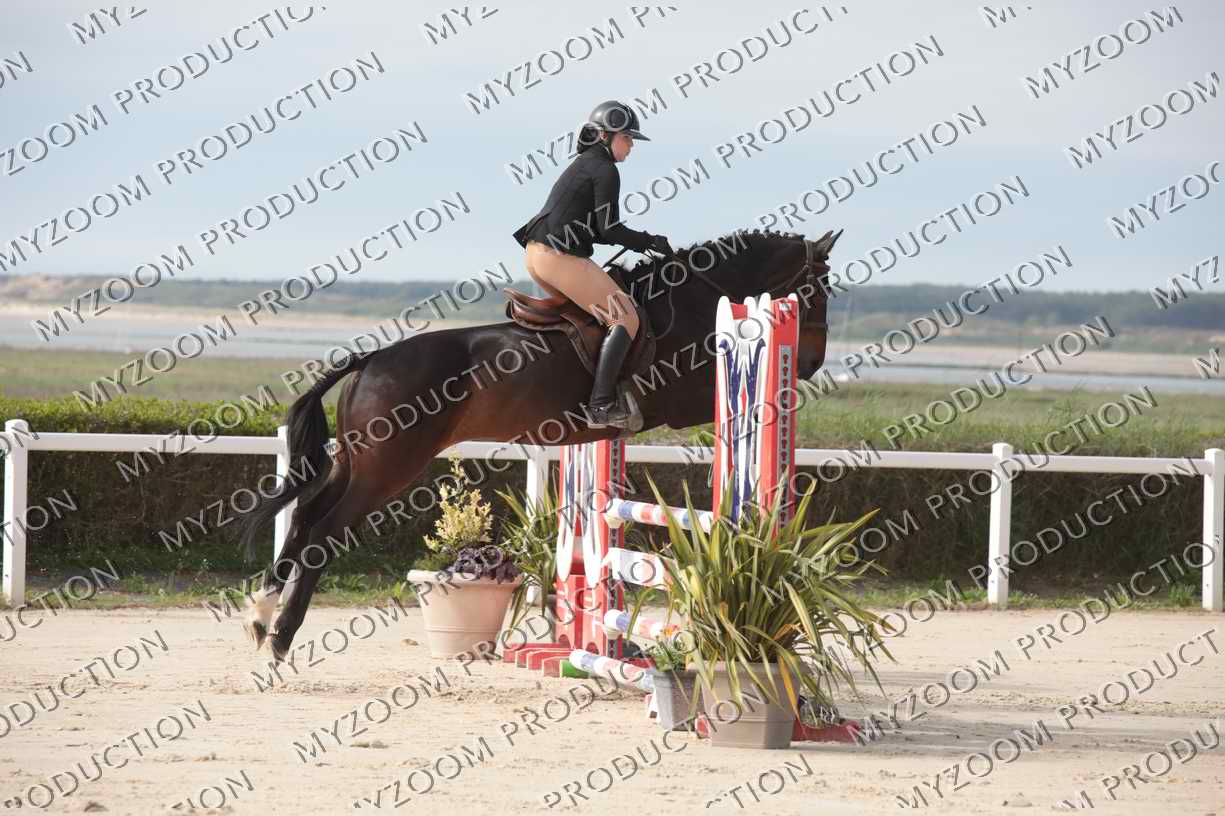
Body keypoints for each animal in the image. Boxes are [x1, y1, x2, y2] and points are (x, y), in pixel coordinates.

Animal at [239, 228, 841, 661]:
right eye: (818, 290)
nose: (812, 363)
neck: (693, 301)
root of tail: (370, 359)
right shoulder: (680, 399)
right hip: (389, 466)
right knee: (324, 529)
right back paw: (282, 638)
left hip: (358, 461)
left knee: (303, 517)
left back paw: (261, 616)